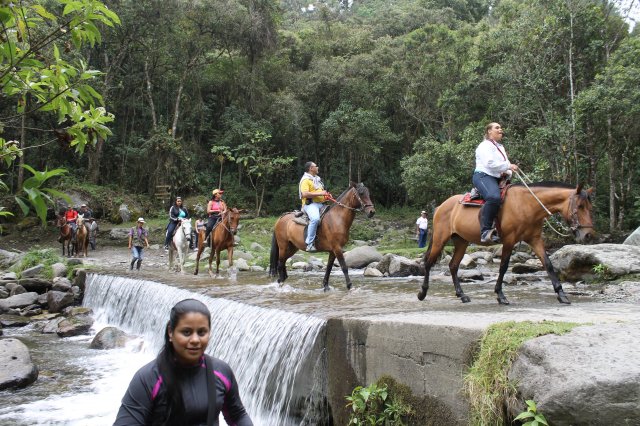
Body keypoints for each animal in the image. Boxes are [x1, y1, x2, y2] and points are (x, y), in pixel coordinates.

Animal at [420, 181, 596, 304]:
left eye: (590, 207)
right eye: (580, 206)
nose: (588, 235)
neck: (527, 205)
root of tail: (441, 206)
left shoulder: (535, 240)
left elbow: (548, 264)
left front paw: (562, 295)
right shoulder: (509, 241)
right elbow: (503, 266)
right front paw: (500, 295)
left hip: (461, 241)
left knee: (453, 266)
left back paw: (462, 295)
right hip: (440, 239)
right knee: (428, 263)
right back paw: (422, 293)